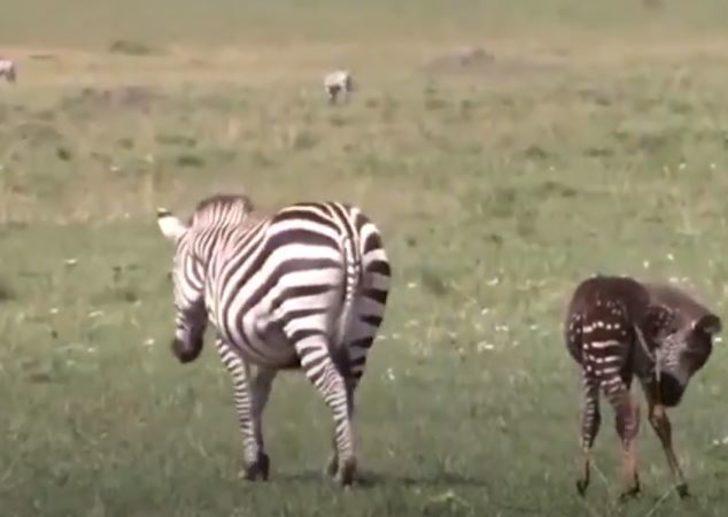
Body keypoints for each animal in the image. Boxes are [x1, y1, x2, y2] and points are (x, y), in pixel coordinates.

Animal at [156, 194, 391, 486]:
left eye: (172, 277)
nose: (180, 351)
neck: (213, 256)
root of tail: (346, 226)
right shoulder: (267, 351)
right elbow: (258, 398)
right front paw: (261, 460)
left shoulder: (229, 342)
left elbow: (243, 399)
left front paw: (250, 465)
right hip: (362, 328)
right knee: (349, 388)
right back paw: (334, 462)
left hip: (305, 319)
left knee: (334, 383)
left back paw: (345, 468)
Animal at [565, 275, 721, 499]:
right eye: (694, 355)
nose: (672, 395)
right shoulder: (632, 368)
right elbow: (620, 424)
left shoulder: (589, 367)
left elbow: (590, 419)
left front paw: (583, 482)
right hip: (643, 366)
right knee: (655, 417)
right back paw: (678, 485)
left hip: (604, 358)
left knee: (630, 411)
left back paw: (628, 487)